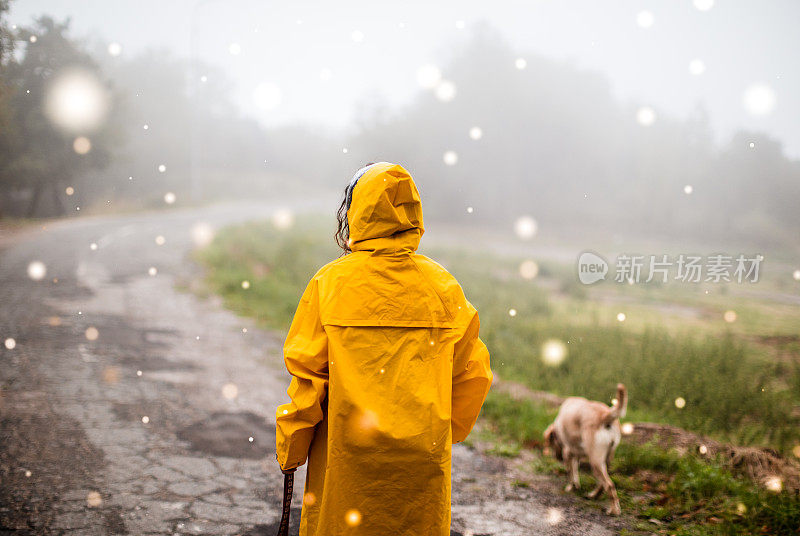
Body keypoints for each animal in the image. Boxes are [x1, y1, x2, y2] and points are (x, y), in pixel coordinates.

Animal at [548, 382, 628, 516]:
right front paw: (576, 485)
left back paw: (614, 511)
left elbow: (570, 472)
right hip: (605, 460)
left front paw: (570, 486)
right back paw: (594, 495)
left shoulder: (567, 452)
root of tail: (604, 415)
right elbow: (575, 470)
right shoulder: (575, 455)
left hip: (595, 460)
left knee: (609, 485)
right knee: (602, 484)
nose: (555, 456)